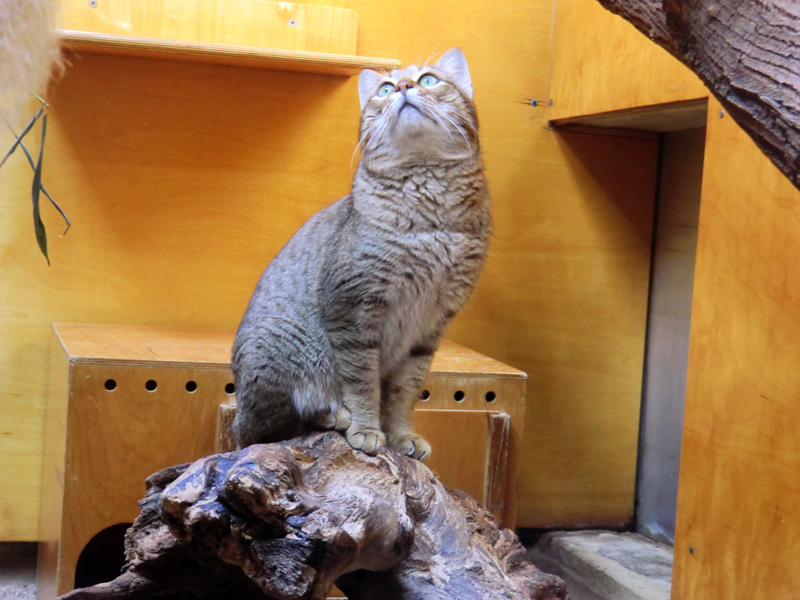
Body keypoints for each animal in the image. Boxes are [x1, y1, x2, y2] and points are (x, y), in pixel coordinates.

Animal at [231, 49, 490, 462]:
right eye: (385, 88)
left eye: (429, 80)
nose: (404, 86)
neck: (430, 222)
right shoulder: (353, 311)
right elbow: (363, 382)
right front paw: (367, 429)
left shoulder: (430, 326)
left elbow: (404, 393)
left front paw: (401, 435)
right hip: (281, 353)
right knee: (271, 428)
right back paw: (334, 415)